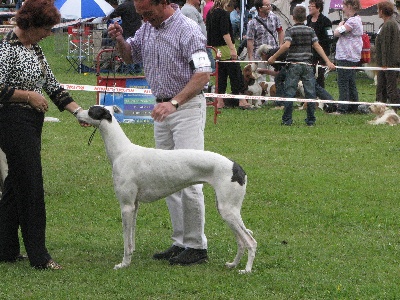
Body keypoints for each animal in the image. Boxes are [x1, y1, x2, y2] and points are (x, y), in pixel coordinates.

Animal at [77, 106, 258, 274]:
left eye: (91, 110)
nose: (77, 112)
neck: (122, 152)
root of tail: (237, 167)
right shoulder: (134, 205)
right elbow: (131, 237)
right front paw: (131, 255)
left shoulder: (126, 206)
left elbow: (126, 241)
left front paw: (124, 264)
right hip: (228, 210)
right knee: (241, 241)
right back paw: (233, 264)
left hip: (228, 210)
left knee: (250, 241)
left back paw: (246, 270)